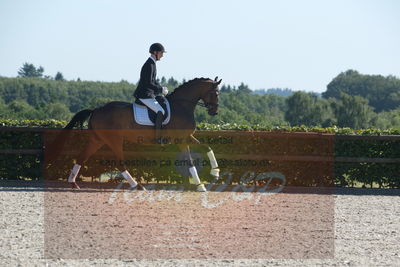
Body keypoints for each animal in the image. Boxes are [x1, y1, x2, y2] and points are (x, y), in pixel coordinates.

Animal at [52, 77, 222, 193]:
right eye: (215, 93)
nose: (214, 112)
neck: (181, 105)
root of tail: (97, 109)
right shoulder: (181, 140)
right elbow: (190, 161)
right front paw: (200, 185)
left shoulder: (187, 137)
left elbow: (207, 147)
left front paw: (215, 173)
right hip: (114, 140)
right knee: (119, 163)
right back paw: (137, 185)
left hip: (98, 140)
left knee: (82, 157)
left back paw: (73, 183)